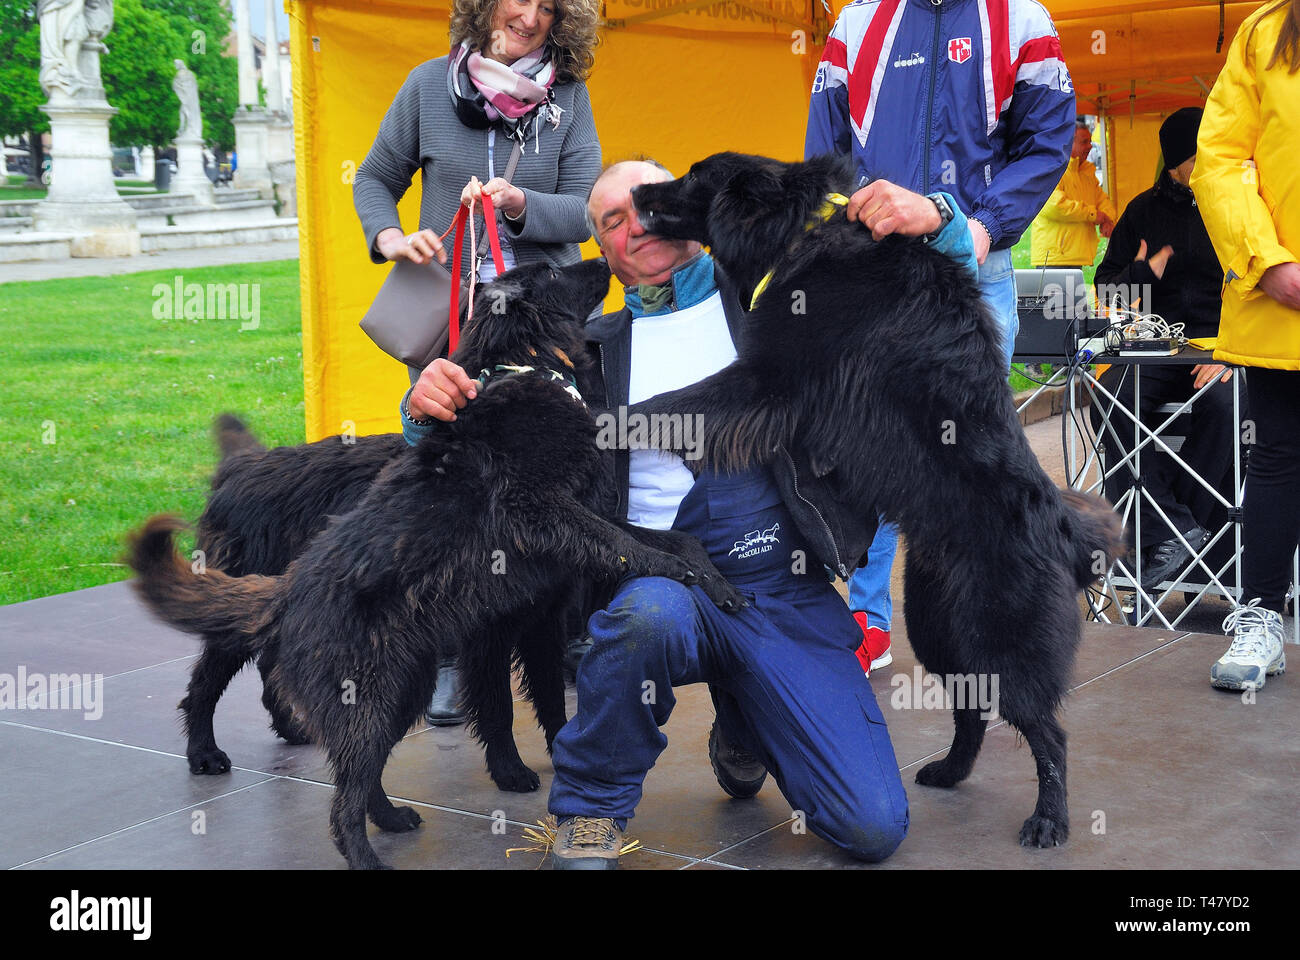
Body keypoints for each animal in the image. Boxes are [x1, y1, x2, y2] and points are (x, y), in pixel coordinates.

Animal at [629, 153, 1118, 848]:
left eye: (695, 177)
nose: (637, 191)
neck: (800, 229)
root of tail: (1064, 531)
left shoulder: (768, 377)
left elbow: (669, 403)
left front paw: (597, 417)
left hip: (1002, 640)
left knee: (1048, 734)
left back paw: (1049, 818)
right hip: (938, 626)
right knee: (972, 712)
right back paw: (949, 771)